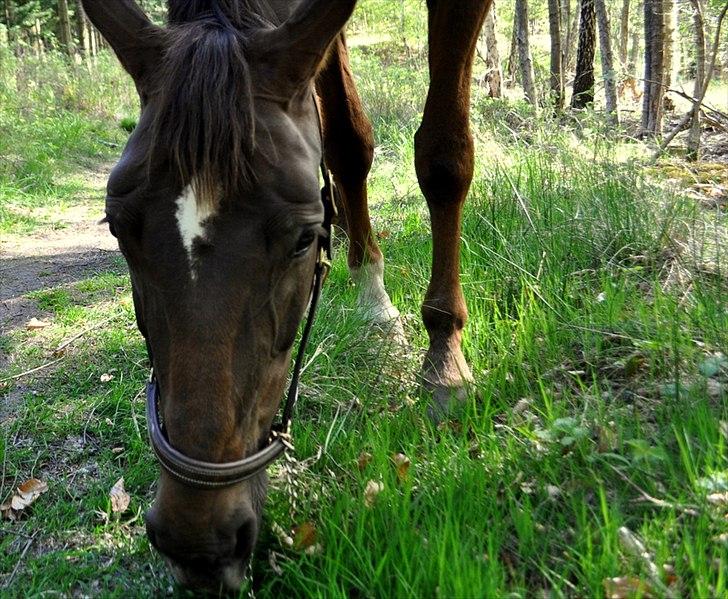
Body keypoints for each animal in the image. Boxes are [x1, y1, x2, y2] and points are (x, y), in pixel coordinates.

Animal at [79, 0, 490, 592]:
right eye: (117, 228)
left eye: (303, 237)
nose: (197, 540)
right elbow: (347, 145)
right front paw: (374, 301)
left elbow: (442, 154)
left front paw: (444, 356)